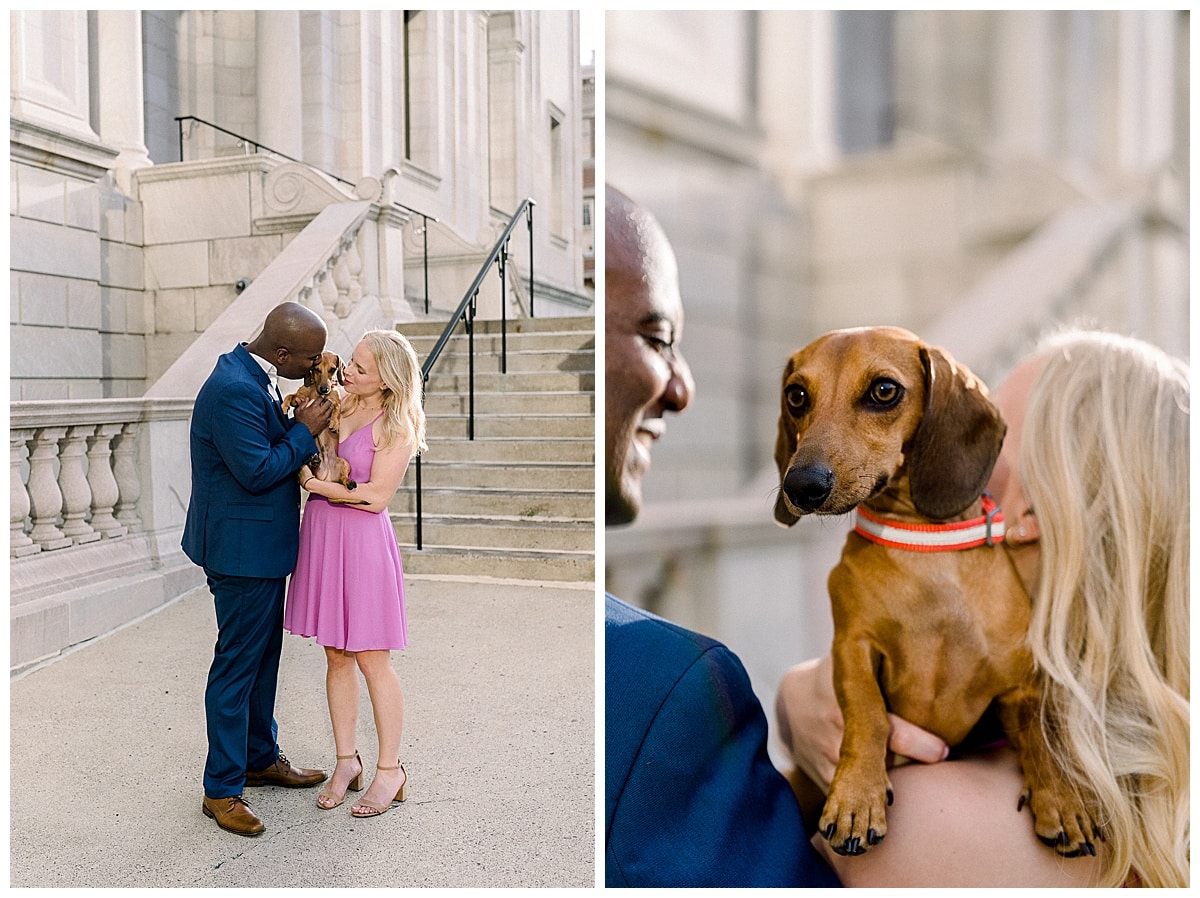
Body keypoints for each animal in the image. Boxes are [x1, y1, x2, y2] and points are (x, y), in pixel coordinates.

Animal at [280, 350, 355, 492]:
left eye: (332, 369)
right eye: (316, 369)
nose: (324, 389)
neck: (317, 391)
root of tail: (327, 476)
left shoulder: (334, 399)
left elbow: (337, 408)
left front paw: (334, 423)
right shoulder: (299, 398)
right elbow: (290, 396)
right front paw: (284, 405)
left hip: (344, 463)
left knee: (343, 479)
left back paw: (350, 482)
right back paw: (314, 460)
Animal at [777, 326, 1099, 859]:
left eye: (884, 390)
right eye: (797, 395)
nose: (800, 486)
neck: (924, 546)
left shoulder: (1019, 683)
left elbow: (1040, 732)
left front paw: (1061, 797)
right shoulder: (852, 646)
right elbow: (867, 713)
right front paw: (856, 797)